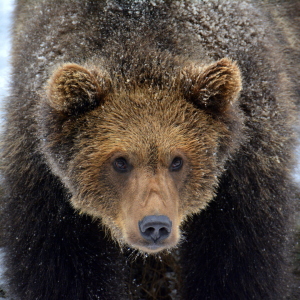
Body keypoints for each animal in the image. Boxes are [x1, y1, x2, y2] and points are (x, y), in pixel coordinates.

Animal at [0, 0, 298, 300]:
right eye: (120, 161)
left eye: (177, 160)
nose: (155, 226)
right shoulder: (44, 181)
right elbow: (60, 268)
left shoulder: (244, 169)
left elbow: (238, 263)